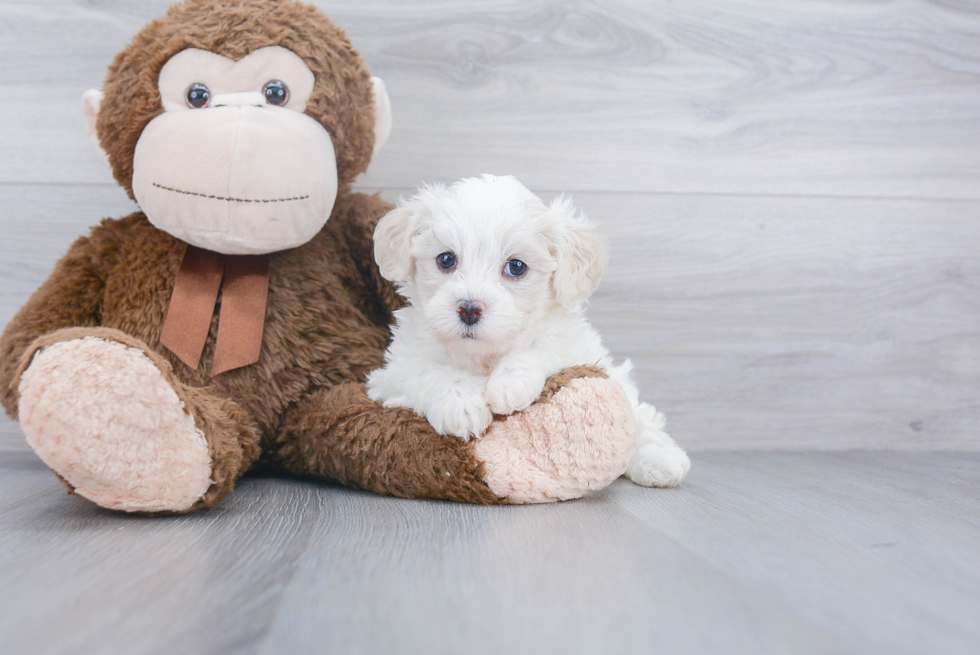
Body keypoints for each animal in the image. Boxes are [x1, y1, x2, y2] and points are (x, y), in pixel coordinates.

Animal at [366, 174, 688, 486]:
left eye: (516, 267)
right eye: (446, 259)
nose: (469, 309)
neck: (484, 356)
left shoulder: (574, 346)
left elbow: (541, 346)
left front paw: (510, 382)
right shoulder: (394, 370)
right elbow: (429, 370)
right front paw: (460, 404)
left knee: (642, 421)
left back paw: (660, 461)